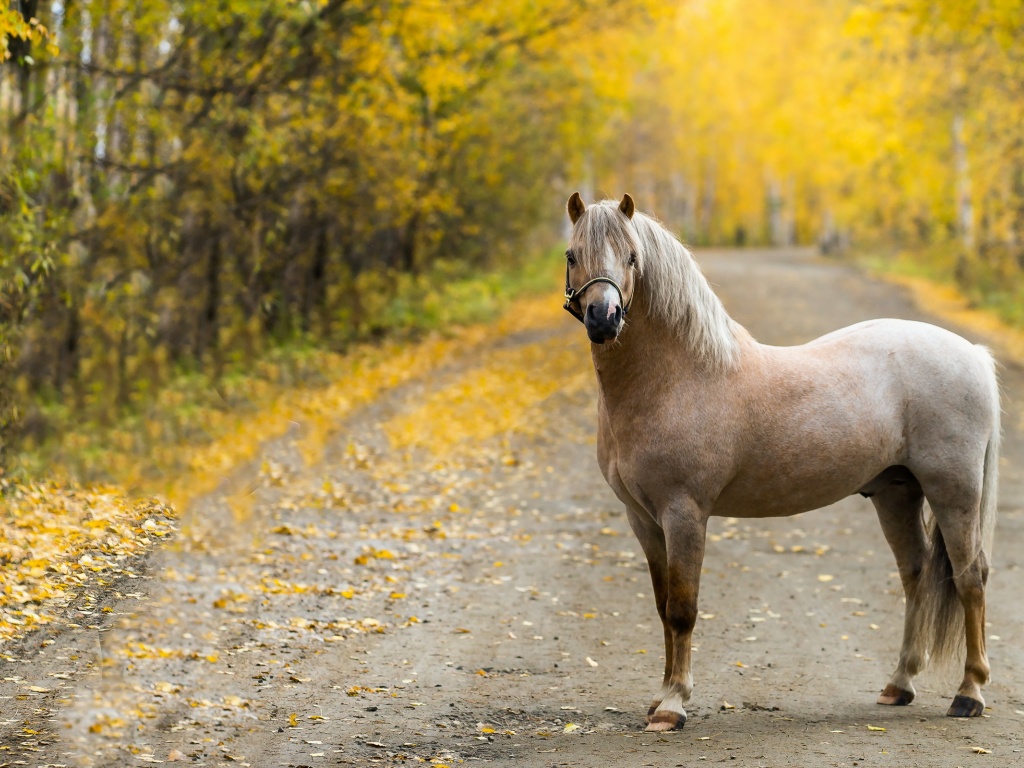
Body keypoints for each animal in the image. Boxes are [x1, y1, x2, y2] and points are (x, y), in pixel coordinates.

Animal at [565, 192, 995, 733]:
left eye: (632, 257)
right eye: (572, 255)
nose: (604, 318)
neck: (678, 378)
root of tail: (973, 354)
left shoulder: (684, 514)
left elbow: (683, 608)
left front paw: (672, 705)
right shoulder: (642, 518)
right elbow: (663, 607)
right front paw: (660, 696)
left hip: (954, 491)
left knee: (970, 577)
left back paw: (970, 694)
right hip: (896, 493)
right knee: (915, 573)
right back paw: (899, 685)